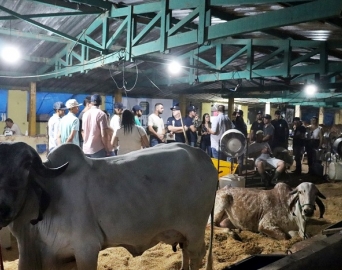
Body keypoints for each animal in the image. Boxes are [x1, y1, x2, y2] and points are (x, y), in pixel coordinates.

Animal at [0, 142, 216, 268]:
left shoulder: (86, 248)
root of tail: (201, 154)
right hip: (184, 234)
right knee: (186, 254)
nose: (3, 210)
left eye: (26, 167)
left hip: (195, 230)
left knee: (196, 255)